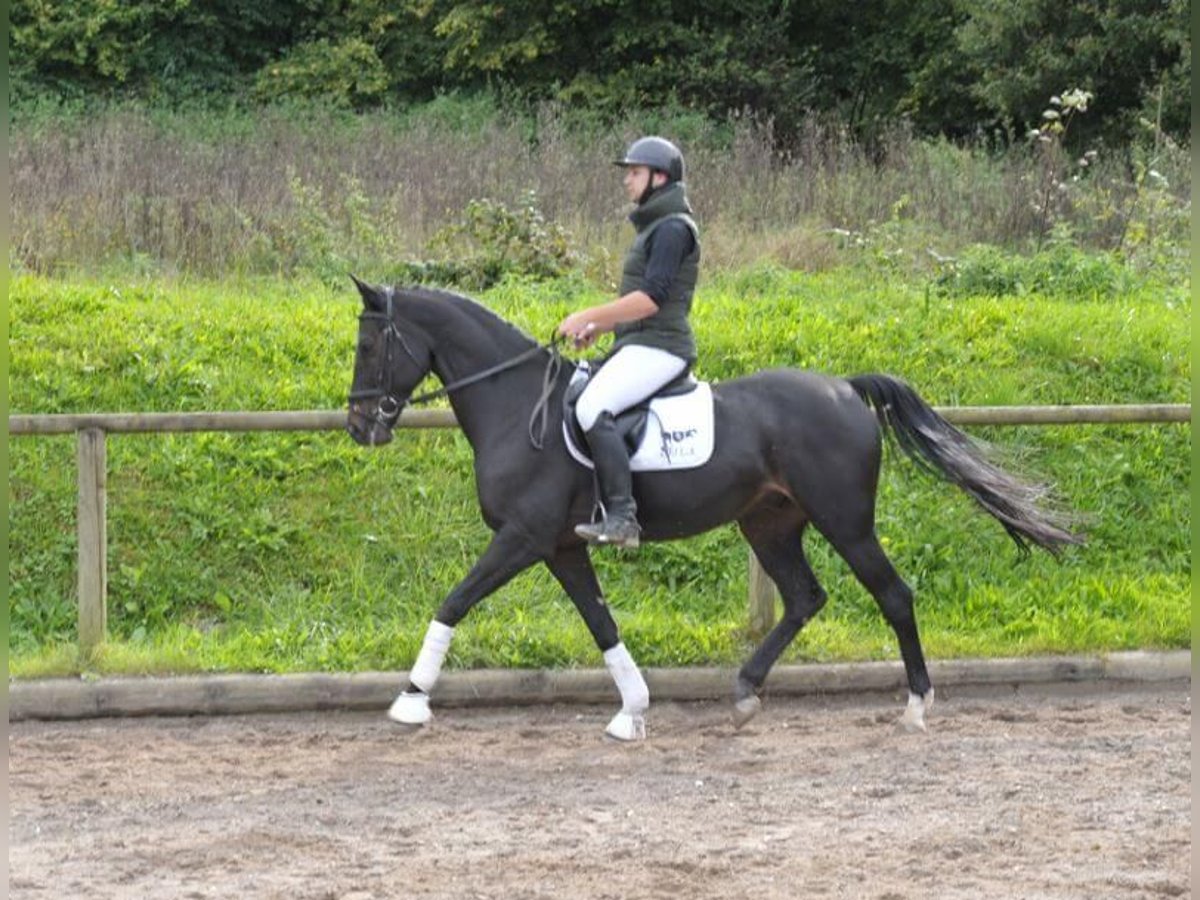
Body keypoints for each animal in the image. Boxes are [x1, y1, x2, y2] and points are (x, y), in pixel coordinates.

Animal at [345, 280, 1080, 739]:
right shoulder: (561, 546)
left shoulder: (523, 539)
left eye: (368, 345)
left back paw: (916, 706)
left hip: (845, 521)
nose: (358, 427)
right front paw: (633, 710)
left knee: (894, 594)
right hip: (770, 522)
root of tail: (844, 388)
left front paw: (410, 701)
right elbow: (601, 624)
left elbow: (454, 601)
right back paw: (746, 692)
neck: (517, 403)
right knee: (805, 597)